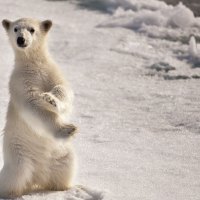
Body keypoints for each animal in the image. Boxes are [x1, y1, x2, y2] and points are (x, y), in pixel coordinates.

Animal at [0, 18, 77, 198]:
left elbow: (63, 89)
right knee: (14, 177)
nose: (21, 40)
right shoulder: (20, 82)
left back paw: (63, 188)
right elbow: (34, 106)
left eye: (32, 29)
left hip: (61, 155)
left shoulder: (51, 71)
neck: (33, 64)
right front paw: (67, 129)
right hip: (18, 154)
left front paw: (51, 99)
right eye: (15, 29)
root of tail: (37, 177)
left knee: (66, 168)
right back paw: (11, 193)